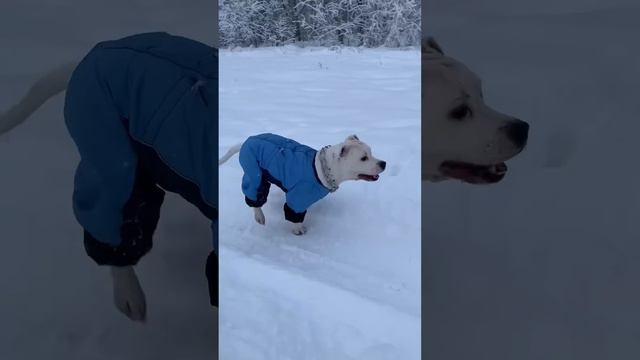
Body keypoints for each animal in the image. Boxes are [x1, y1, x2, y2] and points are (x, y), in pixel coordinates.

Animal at [220, 134, 384, 235]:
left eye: (371, 152)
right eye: (363, 158)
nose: (384, 163)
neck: (321, 169)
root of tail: (247, 141)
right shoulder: (297, 198)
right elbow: (295, 215)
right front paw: (298, 230)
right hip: (255, 174)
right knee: (255, 197)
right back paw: (259, 217)